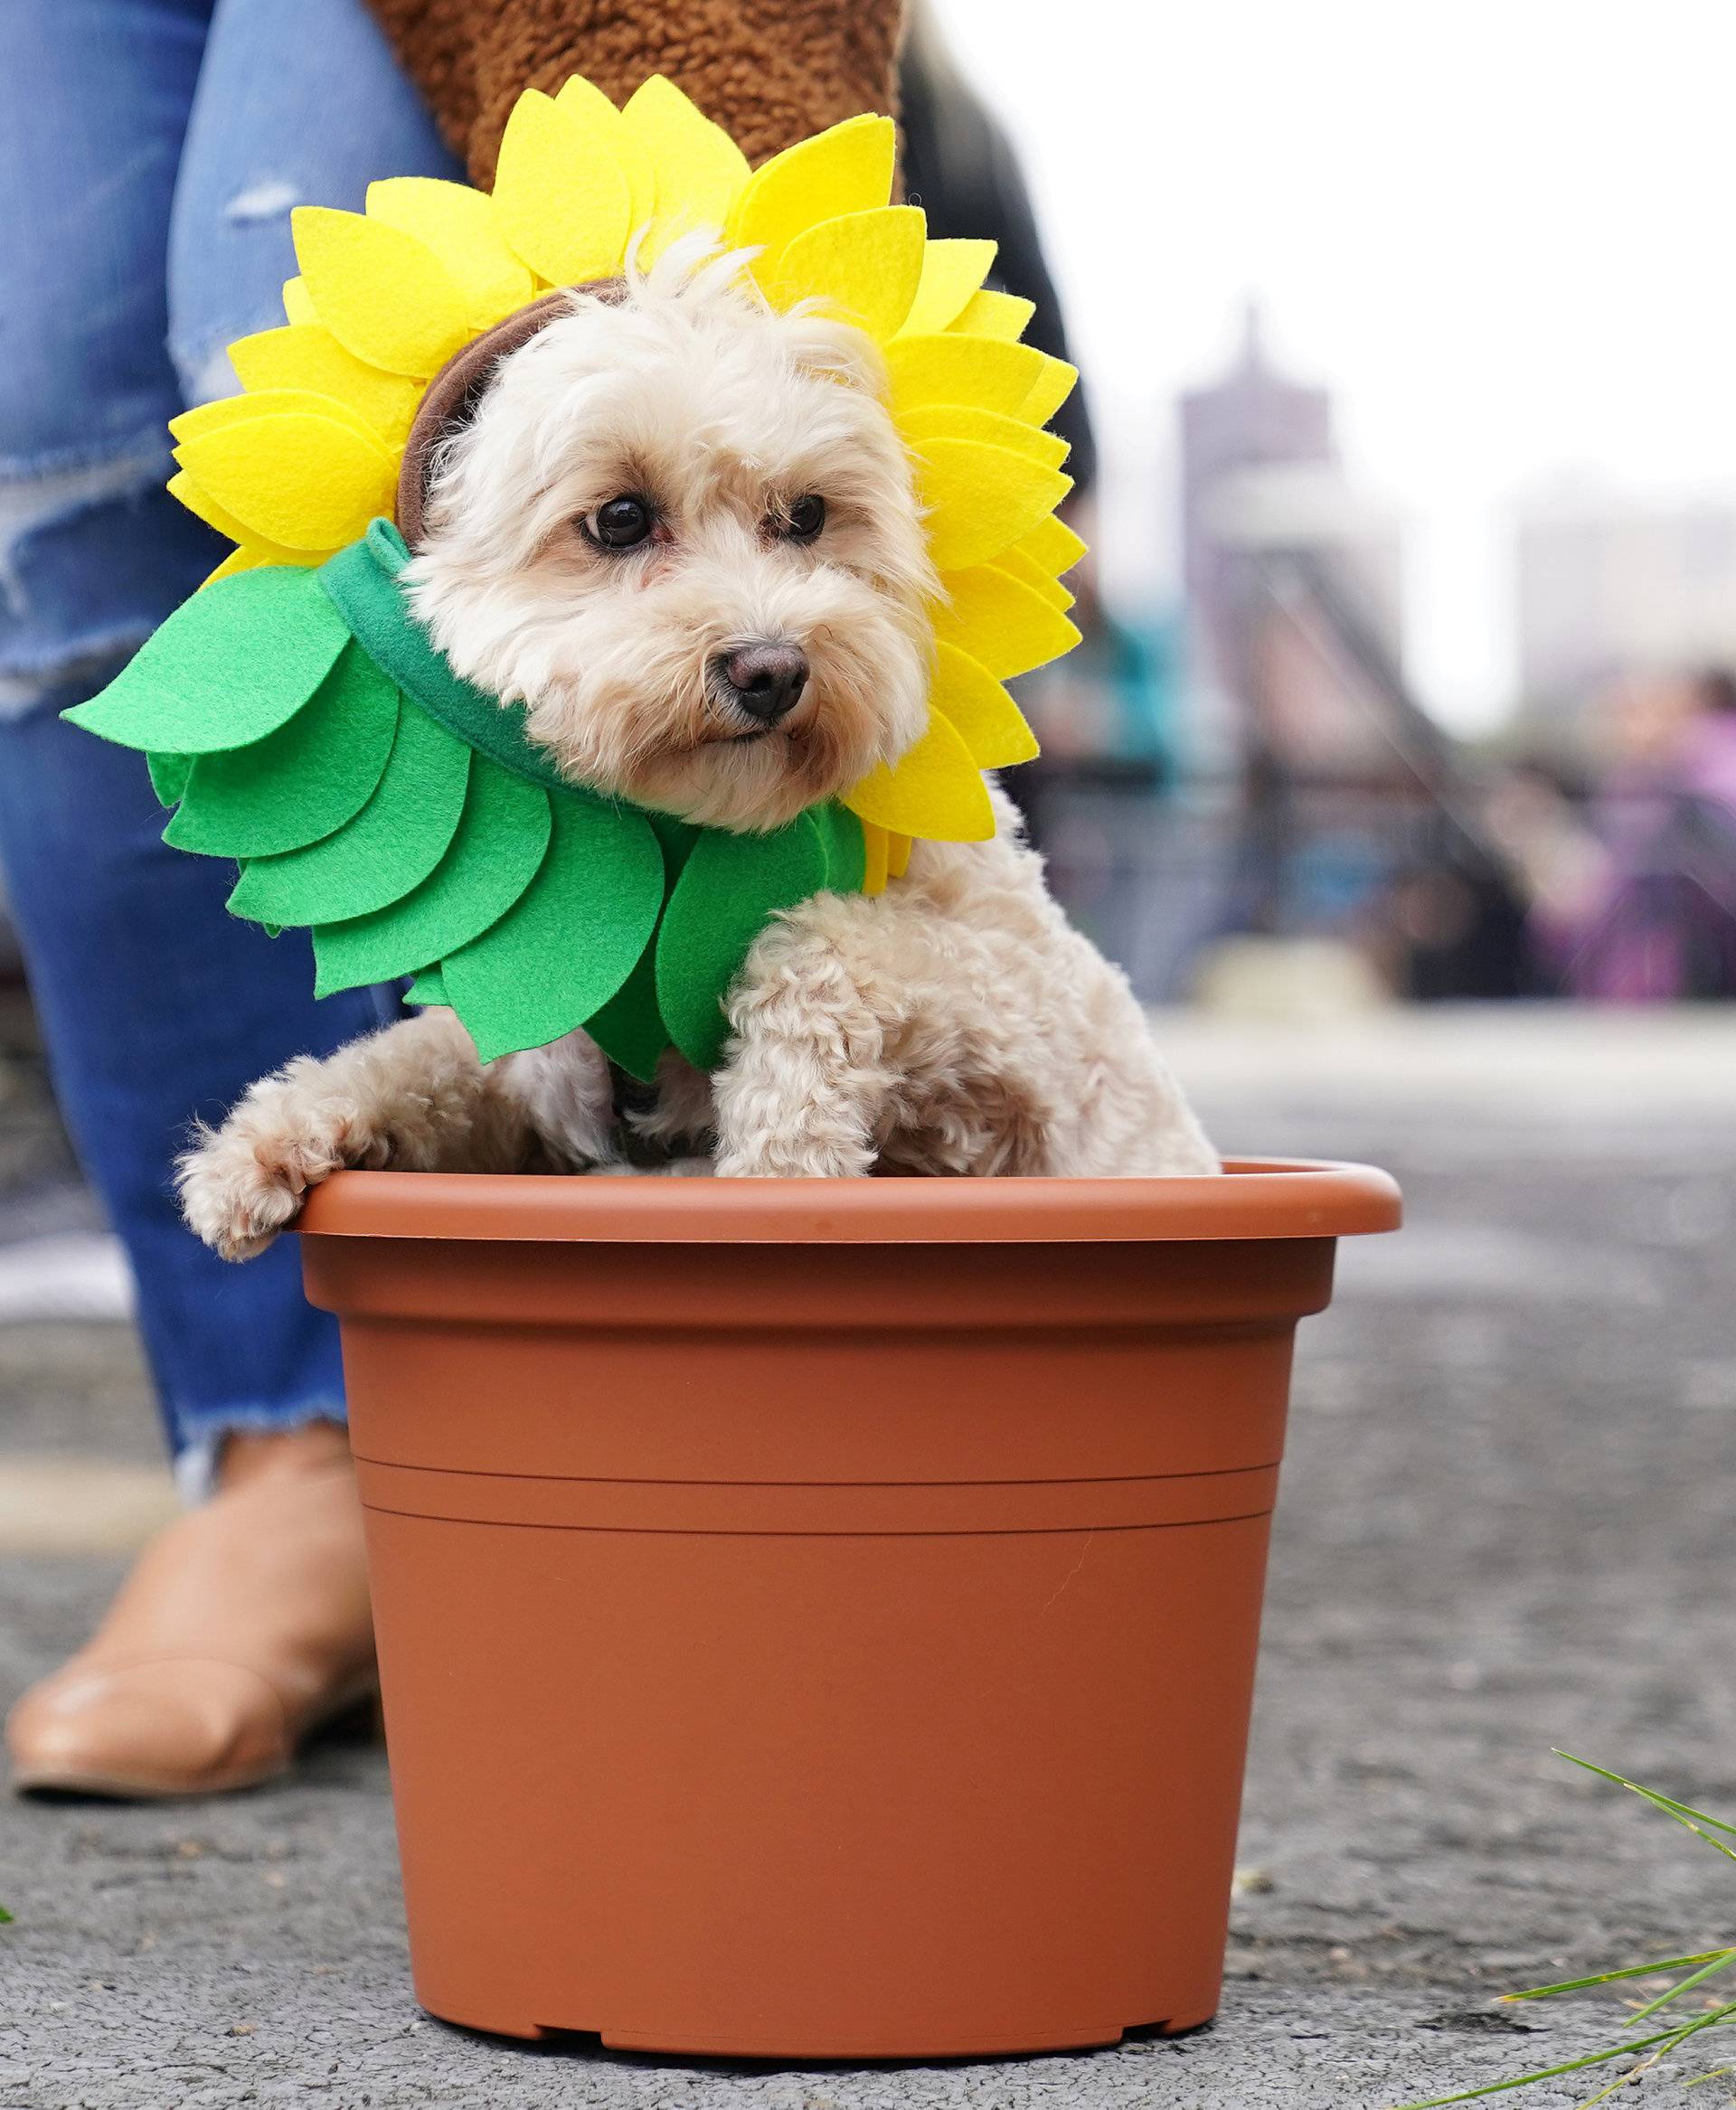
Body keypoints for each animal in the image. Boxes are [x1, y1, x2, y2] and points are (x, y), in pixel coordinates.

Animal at [175, 242, 1206, 1248]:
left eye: (808, 515)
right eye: (621, 518)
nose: (773, 669)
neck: (682, 853)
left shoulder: (1032, 1053)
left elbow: (824, 944)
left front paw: (780, 1155)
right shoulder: (530, 1068)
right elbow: (416, 1055)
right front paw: (256, 1140)